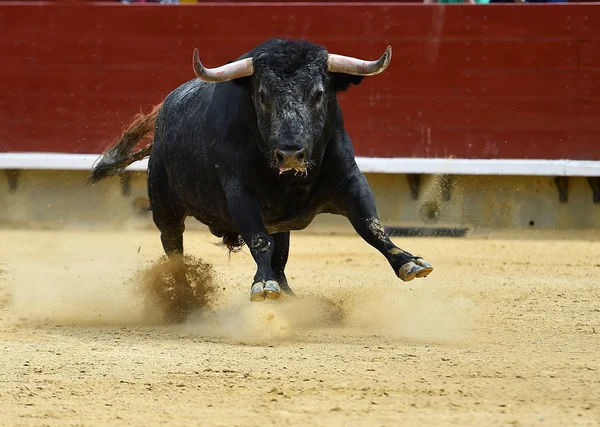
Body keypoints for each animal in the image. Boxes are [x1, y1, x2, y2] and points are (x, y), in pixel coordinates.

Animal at [90, 39, 432, 314]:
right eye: (263, 95)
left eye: (319, 93)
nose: (291, 154)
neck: (291, 181)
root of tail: (164, 112)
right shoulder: (240, 193)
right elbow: (259, 240)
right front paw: (263, 284)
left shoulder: (350, 179)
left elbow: (371, 226)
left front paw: (409, 262)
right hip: (166, 207)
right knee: (173, 246)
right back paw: (186, 302)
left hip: (278, 221)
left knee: (281, 252)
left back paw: (290, 295)